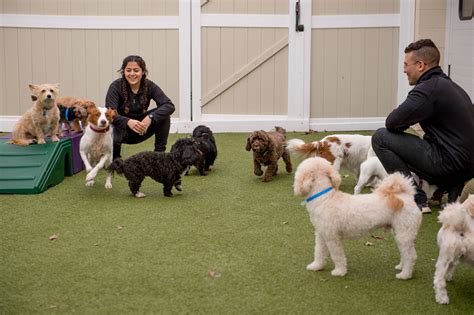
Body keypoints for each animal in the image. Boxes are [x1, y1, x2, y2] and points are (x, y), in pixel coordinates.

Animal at [292, 157, 422, 278]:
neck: (324, 198)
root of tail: (407, 195)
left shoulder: (332, 237)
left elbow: (337, 255)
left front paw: (339, 271)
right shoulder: (321, 234)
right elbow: (318, 251)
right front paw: (316, 266)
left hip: (405, 232)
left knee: (411, 255)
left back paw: (405, 274)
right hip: (399, 232)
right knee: (405, 252)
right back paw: (401, 267)